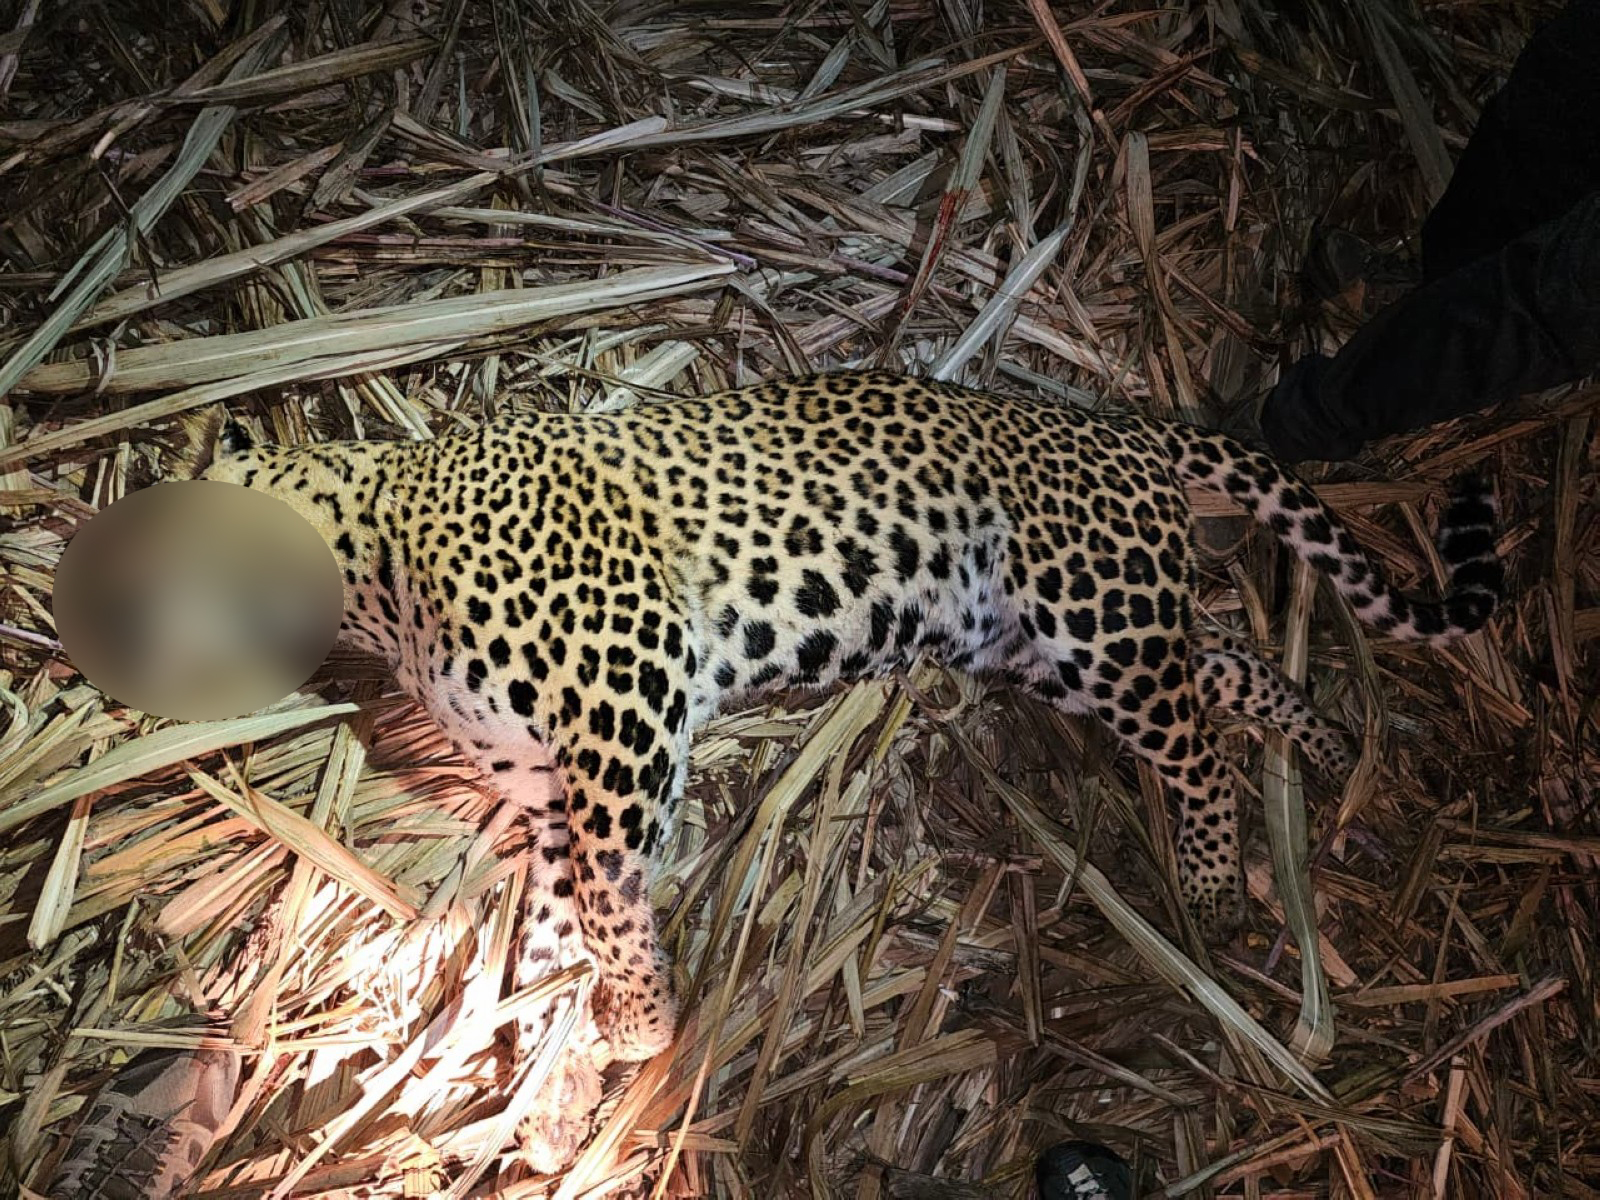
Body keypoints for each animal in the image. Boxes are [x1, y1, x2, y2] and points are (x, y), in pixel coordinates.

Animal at [197, 369, 1501, 1087]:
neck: (372, 561)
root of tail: (1123, 427)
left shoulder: (628, 688)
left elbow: (614, 888)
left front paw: (642, 1020)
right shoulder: (538, 768)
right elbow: (569, 883)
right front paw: (572, 991)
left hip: (1096, 617)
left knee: (1199, 744)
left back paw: (1219, 887)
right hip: (1051, 651)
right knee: (1228, 668)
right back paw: (1327, 751)